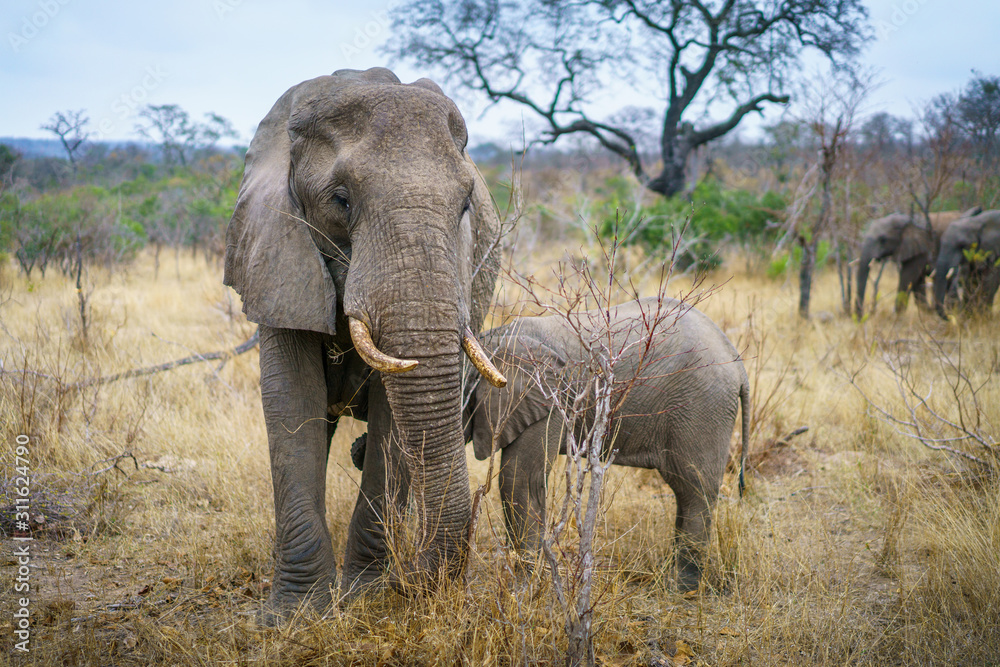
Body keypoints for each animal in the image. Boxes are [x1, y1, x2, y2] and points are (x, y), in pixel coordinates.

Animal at [227, 68, 508, 620]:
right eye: (341, 199)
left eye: (466, 204)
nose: (413, 583)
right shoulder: (277, 253)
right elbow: (292, 400)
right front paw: (295, 616)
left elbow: (389, 421)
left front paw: (367, 597)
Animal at [468, 298, 752, 588]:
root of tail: (739, 367)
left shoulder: (549, 399)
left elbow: (520, 478)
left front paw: (523, 583)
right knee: (685, 491)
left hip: (702, 408)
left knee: (695, 489)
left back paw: (682, 587)